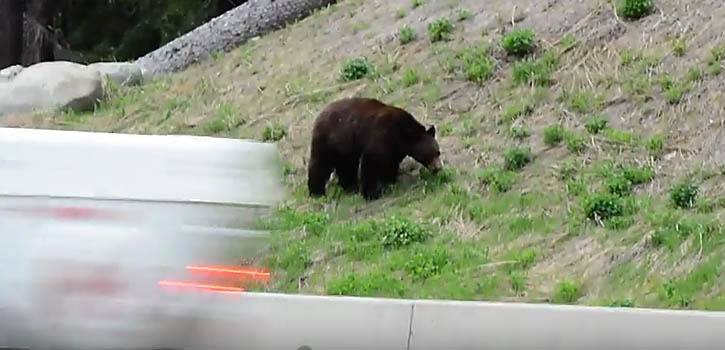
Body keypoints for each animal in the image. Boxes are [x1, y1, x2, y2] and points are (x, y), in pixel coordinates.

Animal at [306, 96, 442, 200]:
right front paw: (371, 193)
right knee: (320, 164)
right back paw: (317, 192)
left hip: (344, 148)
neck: (402, 134)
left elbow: (390, 163)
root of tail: (319, 115)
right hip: (327, 141)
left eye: (438, 152)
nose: (438, 168)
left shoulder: (395, 148)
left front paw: (390, 181)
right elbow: (372, 161)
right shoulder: (382, 134)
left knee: (346, 166)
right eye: (430, 154)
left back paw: (351, 187)